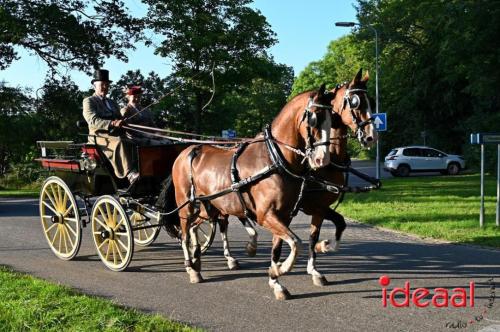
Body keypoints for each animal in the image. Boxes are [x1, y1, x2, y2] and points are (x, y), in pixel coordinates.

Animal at [173, 83, 336, 300]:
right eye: (315, 118)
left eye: (332, 119)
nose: (322, 159)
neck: (273, 159)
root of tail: (188, 151)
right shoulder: (265, 215)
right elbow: (296, 242)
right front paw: (280, 269)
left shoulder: (284, 216)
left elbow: (278, 248)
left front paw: (275, 280)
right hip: (186, 205)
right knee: (184, 233)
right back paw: (191, 267)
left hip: (211, 206)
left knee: (194, 227)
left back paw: (197, 259)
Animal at [216, 68, 378, 286]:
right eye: (355, 102)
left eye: (371, 101)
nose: (371, 137)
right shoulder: (315, 207)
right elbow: (310, 236)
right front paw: (311, 257)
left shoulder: (318, 208)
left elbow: (335, 225)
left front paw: (318, 255)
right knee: (222, 222)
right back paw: (230, 256)